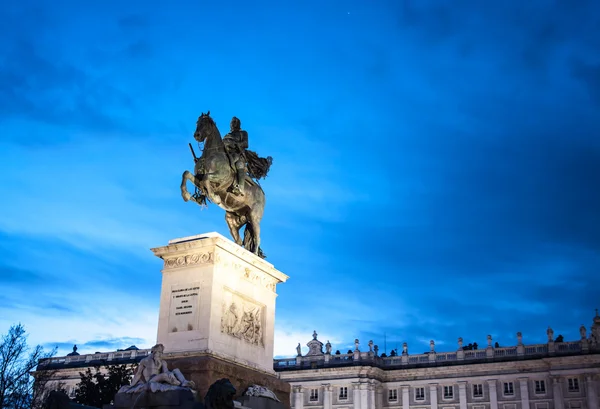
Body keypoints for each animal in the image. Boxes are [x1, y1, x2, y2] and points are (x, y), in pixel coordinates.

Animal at [179, 111, 266, 256]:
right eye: (198, 122)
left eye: (206, 122)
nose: (197, 135)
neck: (212, 154)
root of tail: (263, 195)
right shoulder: (198, 179)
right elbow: (187, 174)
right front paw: (187, 195)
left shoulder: (221, 179)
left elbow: (206, 179)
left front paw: (215, 198)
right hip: (232, 219)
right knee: (239, 241)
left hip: (254, 217)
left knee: (257, 237)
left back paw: (253, 254)